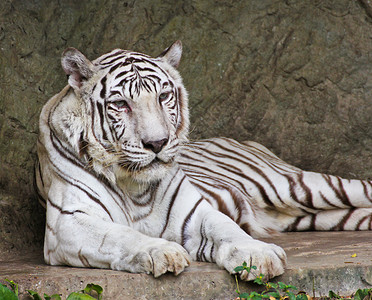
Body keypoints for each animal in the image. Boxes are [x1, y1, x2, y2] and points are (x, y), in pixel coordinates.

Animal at [35, 41, 372, 280]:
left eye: (163, 97)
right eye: (121, 104)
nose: (157, 143)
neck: (135, 185)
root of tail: (244, 140)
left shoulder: (194, 212)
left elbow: (227, 228)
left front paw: (258, 255)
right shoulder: (68, 222)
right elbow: (120, 235)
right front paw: (161, 252)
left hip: (300, 186)